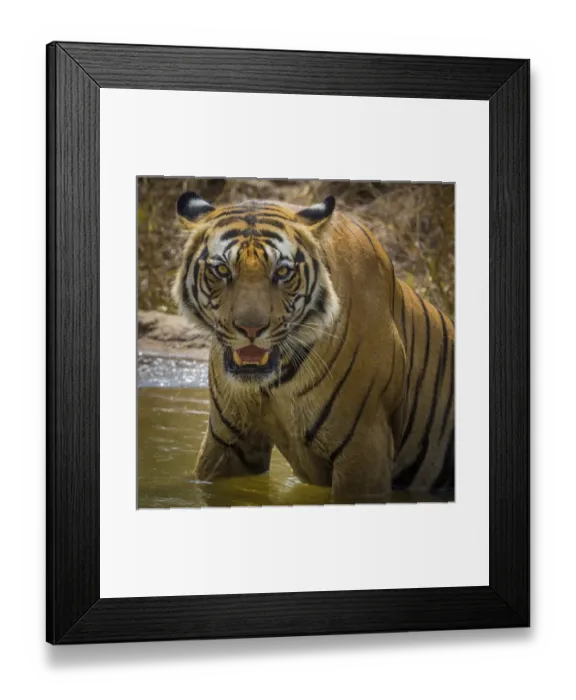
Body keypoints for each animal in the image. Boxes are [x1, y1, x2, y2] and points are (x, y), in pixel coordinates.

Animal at [172, 191, 455, 503]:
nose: (251, 329)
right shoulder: (228, 441)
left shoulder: (364, 447)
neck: (275, 384)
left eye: (283, 272)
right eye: (222, 270)